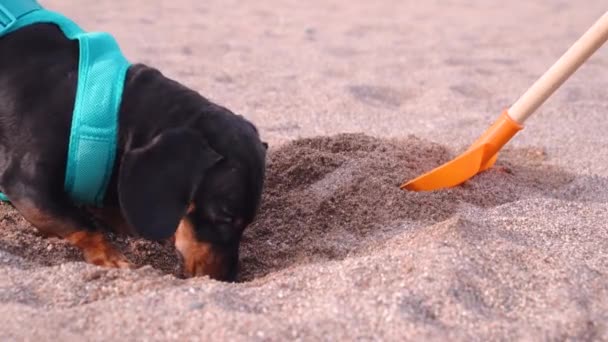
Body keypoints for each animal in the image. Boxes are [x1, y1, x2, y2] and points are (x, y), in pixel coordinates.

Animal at [0, 22, 266, 282]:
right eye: (225, 218)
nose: (229, 279)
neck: (116, 111)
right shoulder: (27, 186)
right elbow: (83, 225)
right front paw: (112, 258)